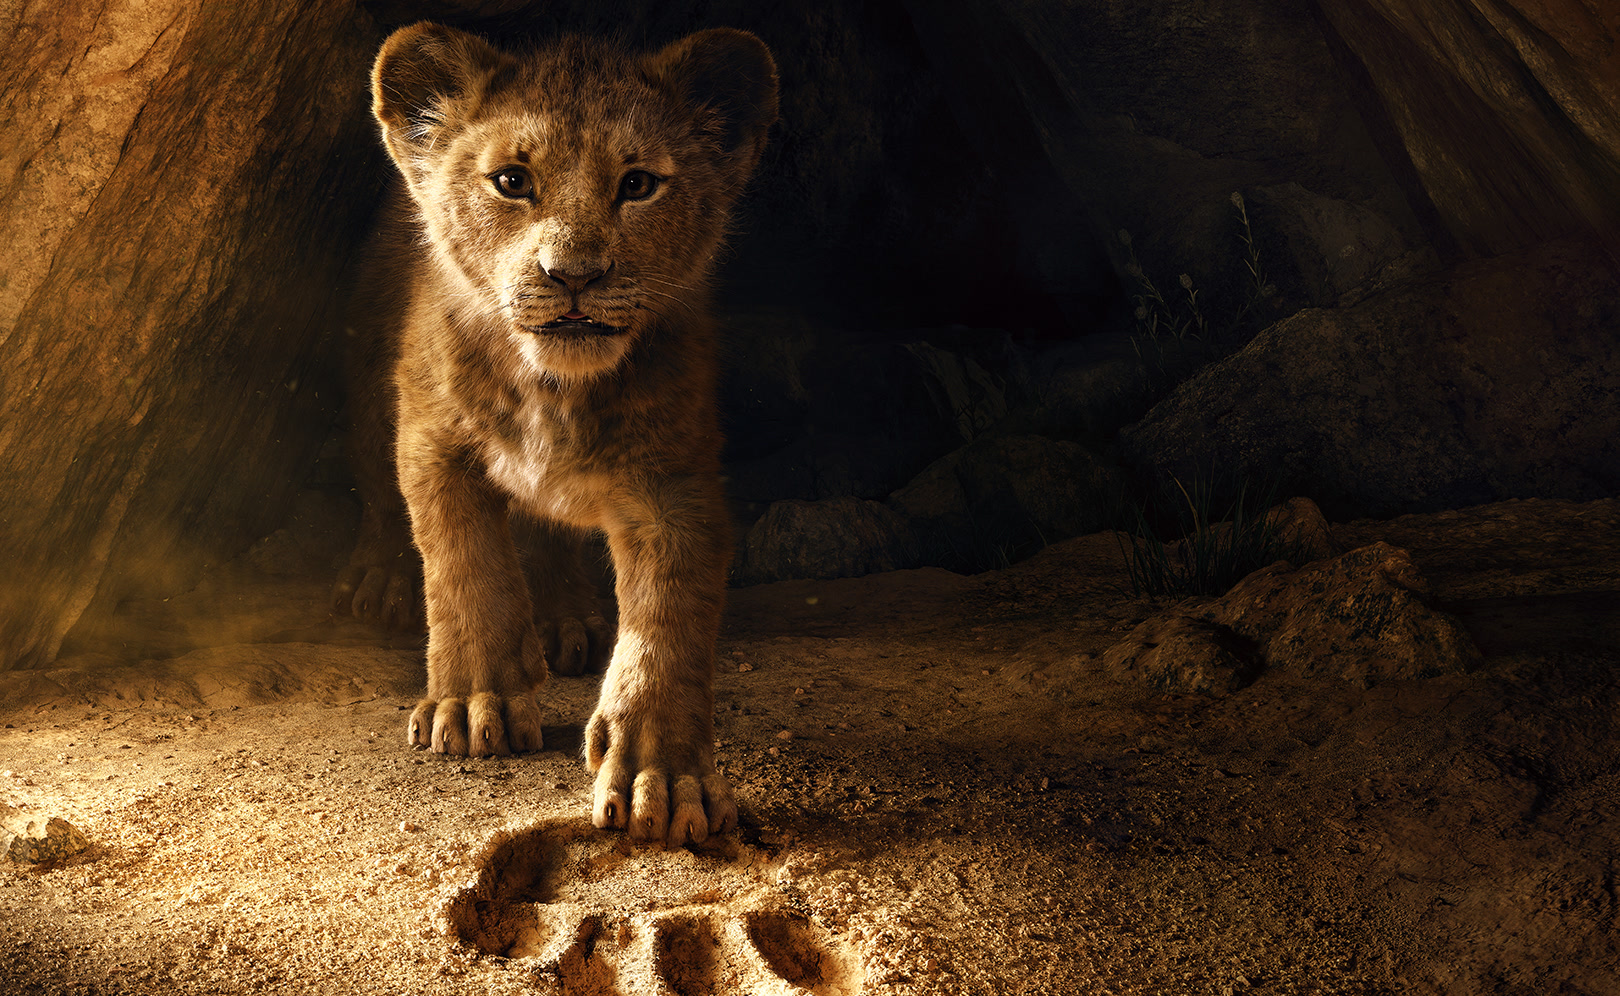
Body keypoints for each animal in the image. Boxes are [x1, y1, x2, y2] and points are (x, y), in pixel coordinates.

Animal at [329, 22, 778, 847]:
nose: (573, 274)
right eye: (511, 181)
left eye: (638, 184)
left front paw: (662, 776)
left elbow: (668, 622)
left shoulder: (676, 483)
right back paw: (379, 580)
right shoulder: (433, 440)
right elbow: (465, 567)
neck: (553, 388)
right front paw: (474, 704)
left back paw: (570, 618)